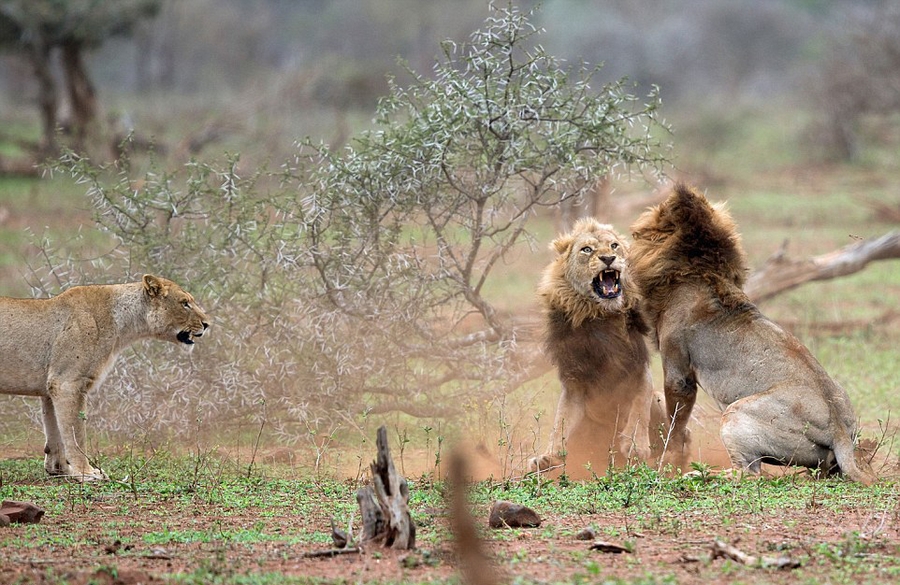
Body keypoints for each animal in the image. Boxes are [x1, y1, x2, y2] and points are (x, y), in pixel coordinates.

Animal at [0, 276, 209, 482]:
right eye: (185, 303)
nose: (207, 324)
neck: (124, 323)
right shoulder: (67, 383)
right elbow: (76, 433)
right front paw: (86, 472)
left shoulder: (51, 387)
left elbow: (55, 433)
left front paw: (61, 470)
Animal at [528, 216, 660, 474]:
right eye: (586, 250)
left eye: (614, 246)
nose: (608, 258)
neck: (601, 314)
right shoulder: (575, 380)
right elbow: (561, 420)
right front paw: (548, 456)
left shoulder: (639, 366)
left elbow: (640, 406)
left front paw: (635, 445)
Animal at [628, 184, 876, 484]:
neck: (701, 271)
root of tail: (839, 431)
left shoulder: (679, 370)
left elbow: (676, 422)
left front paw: (669, 462)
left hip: (735, 413)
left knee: (750, 474)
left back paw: (701, 475)